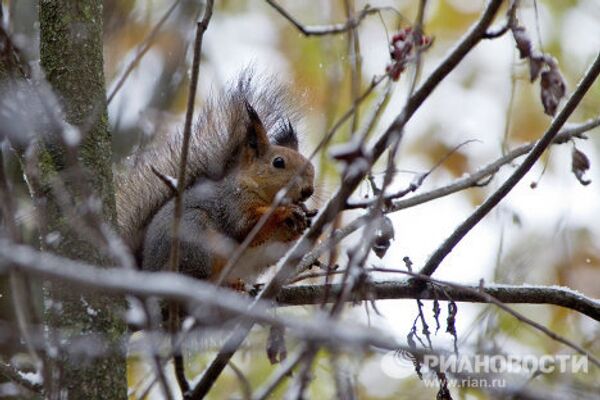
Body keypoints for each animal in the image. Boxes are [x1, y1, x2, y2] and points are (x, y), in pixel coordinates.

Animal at [114, 73, 316, 288]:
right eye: (278, 162)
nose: (308, 190)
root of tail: (147, 273)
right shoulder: (232, 203)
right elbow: (247, 226)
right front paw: (284, 212)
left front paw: (304, 216)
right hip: (194, 237)